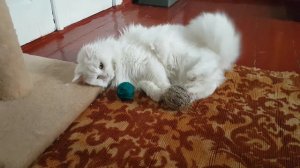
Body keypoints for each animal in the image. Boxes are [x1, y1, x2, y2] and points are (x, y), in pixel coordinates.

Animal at [73, 12, 241, 102]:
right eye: (98, 78)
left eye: (101, 66)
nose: (107, 75)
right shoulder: (138, 80)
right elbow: (149, 88)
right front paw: (159, 94)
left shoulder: (148, 62)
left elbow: (161, 81)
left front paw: (167, 90)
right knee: (208, 87)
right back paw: (189, 90)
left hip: (185, 56)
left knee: (209, 62)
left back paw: (192, 76)